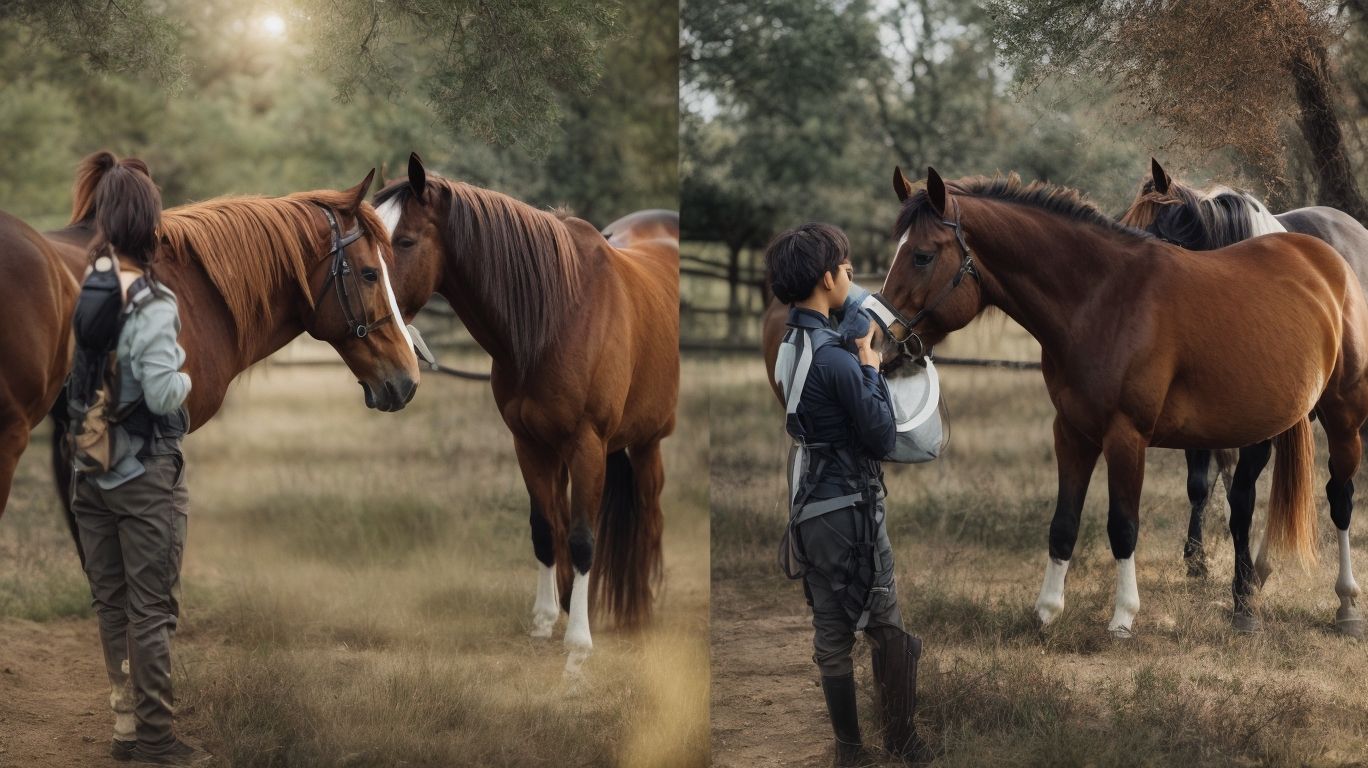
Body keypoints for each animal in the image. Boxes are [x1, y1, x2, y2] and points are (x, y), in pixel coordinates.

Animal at [373, 153, 679, 672]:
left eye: (407, 241)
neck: (558, 315)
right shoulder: (529, 444)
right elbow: (544, 529)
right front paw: (543, 620)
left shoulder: (587, 444)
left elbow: (582, 538)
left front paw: (578, 641)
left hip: (646, 441)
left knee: (649, 514)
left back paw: (638, 609)